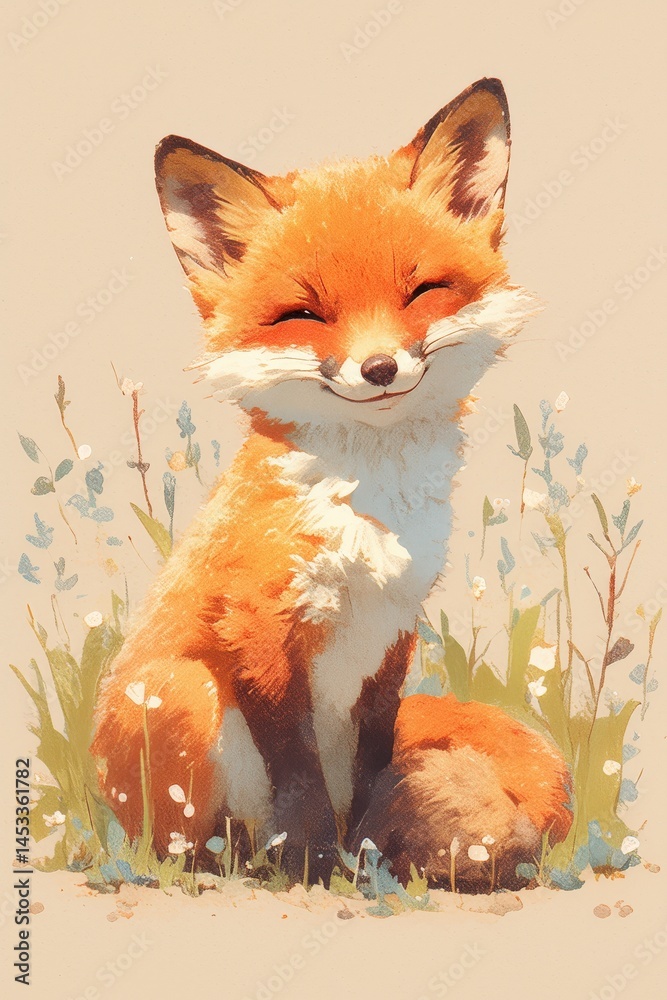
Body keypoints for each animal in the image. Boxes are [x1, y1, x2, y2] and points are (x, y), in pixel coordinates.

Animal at [91, 78, 572, 890]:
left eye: (420, 291)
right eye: (304, 313)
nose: (379, 368)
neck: (367, 514)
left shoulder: (391, 636)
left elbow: (373, 768)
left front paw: (365, 855)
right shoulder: (260, 628)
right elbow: (300, 778)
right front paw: (314, 866)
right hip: (183, 697)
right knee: (187, 843)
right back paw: (234, 864)